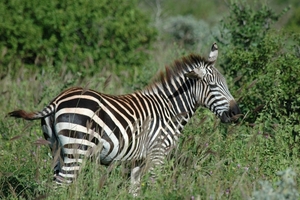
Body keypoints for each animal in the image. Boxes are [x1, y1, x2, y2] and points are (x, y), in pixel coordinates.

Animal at [8, 43, 240, 195]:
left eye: (226, 83)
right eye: (212, 86)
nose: (236, 112)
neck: (169, 108)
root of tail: (57, 99)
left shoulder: (138, 160)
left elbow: (134, 191)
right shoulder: (157, 155)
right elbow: (152, 188)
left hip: (57, 149)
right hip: (77, 149)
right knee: (59, 186)